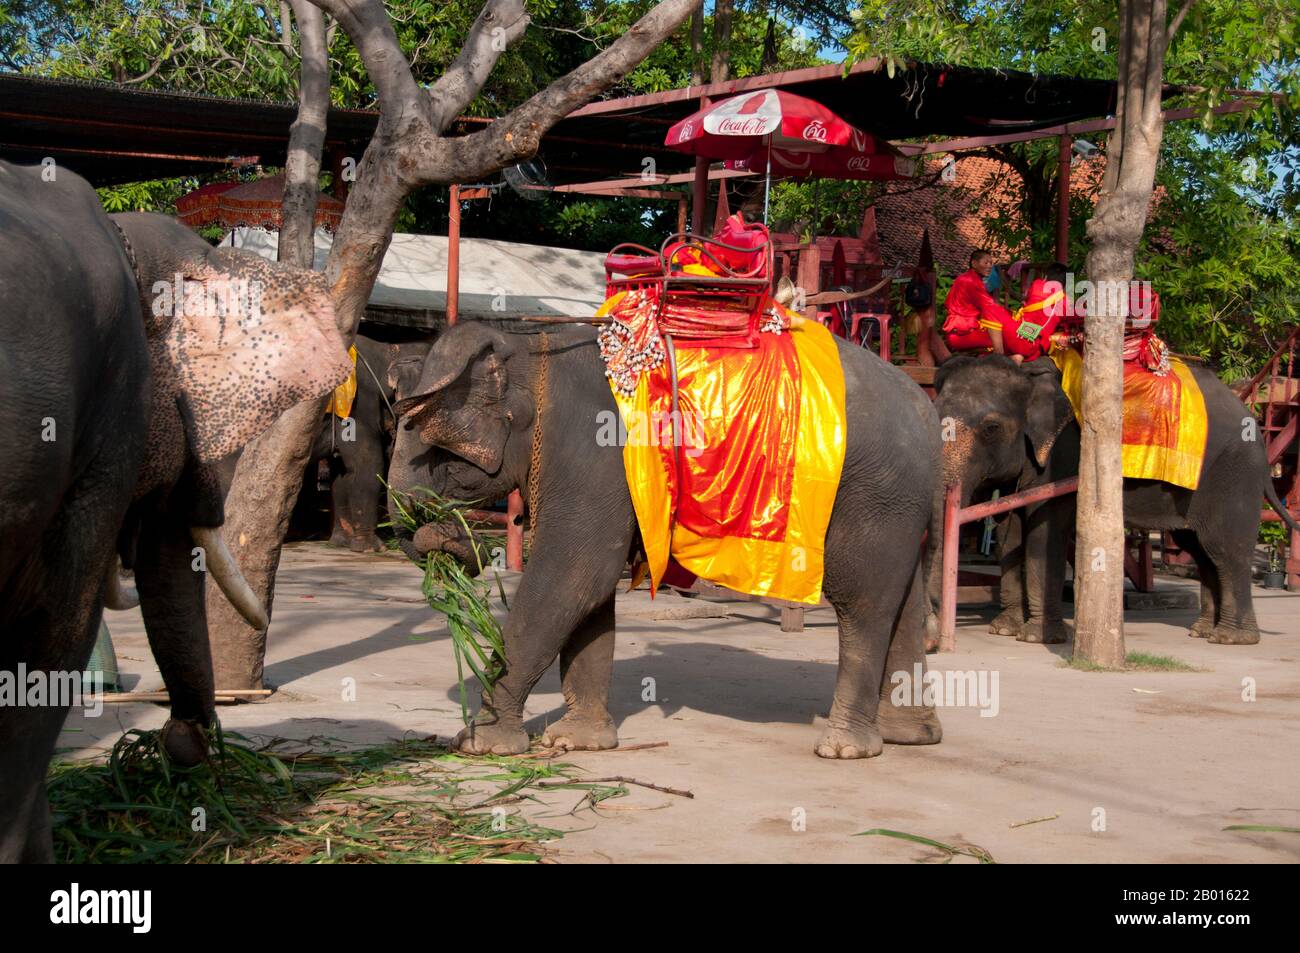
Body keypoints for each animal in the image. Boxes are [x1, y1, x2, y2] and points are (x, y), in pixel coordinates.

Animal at [384, 319, 946, 759]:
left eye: (434, 447)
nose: (443, 532)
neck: (530, 347)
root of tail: (928, 411)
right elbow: (591, 596)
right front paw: (577, 742)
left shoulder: (592, 449)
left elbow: (574, 574)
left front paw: (479, 743)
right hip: (902, 502)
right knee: (904, 601)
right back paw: (909, 735)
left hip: (875, 492)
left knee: (863, 603)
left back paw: (844, 746)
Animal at [930, 351, 1294, 647]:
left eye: (990, 428)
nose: (936, 639)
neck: (1028, 372)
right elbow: (1009, 535)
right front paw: (1004, 629)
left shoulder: (1063, 455)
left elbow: (1043, 536)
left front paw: (1036, 638)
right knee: (1199, 550)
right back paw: (1202, 631)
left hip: (1233, 474)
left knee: (1225, 549)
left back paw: (1231, 638)